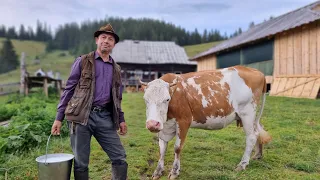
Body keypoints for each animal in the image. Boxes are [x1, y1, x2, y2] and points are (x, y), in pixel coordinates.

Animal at [141, 65, 272, 179]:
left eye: (167, 99)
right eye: (145, 99)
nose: (152, 124)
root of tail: (256, 71)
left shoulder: (184, 122)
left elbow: (177, 148)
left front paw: (174, 172)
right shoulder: (164, 127)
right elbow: (162, 149)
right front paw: (157, 171)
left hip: (247, 113)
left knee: (251, 136)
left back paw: (243, 163)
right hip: (253, 116)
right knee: (258, 130)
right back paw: (257, 155)